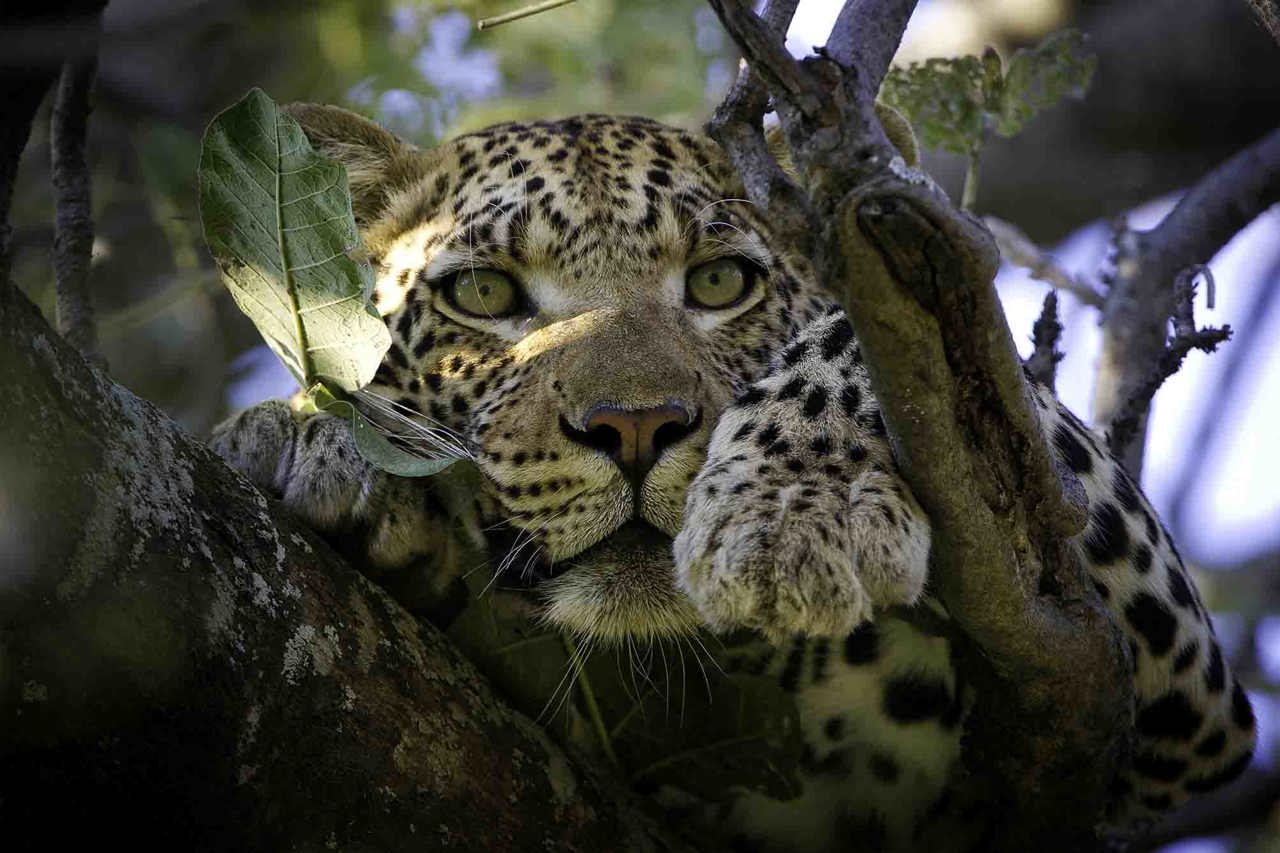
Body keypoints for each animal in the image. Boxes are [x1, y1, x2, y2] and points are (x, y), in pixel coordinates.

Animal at [209, 103, 1256, 851]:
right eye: (482, 293)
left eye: (719, 283)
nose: (634, 427)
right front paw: (305, 435)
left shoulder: (1178, 695)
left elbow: (857, 333)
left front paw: (792, 511)